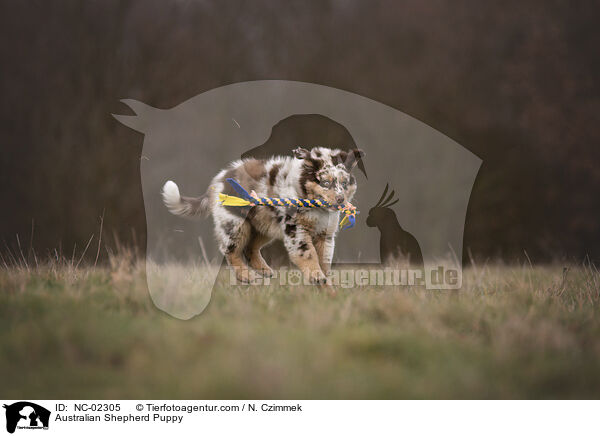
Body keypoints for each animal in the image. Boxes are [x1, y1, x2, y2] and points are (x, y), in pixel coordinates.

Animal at [162, 148, 364, 286]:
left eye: (344, 183)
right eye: (326, 183)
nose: (341, 199)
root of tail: (218, 181)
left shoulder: (325, 235)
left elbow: (324, 259)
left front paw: (327, 283)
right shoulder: (296, 231)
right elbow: (308, 254)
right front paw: (317, 277)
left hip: (263, 225)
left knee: (250, 249)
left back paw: (265, 271)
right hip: (236, 224)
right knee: (230, 250)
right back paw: (246, 276)